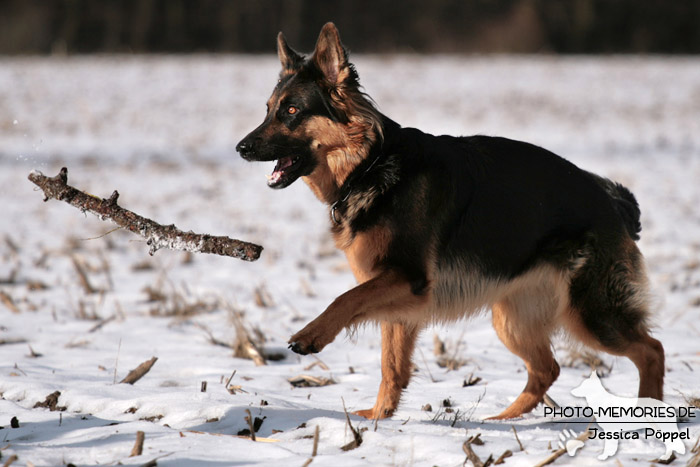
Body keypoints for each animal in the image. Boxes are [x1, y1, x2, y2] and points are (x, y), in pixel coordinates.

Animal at [237, 23, 668, 422]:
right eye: (268, 109)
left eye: (292, 111)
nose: (240, 148)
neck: (370, 166)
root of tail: (613, 201)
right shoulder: (397, 299)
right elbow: (391, 366)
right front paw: (379, 418)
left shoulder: (405, 280)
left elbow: (344, 299)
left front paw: (311, 336)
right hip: (512, 319)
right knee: (548, 368)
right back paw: (502, 419)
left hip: (591, 315)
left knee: (651, 351)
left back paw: (648, 410)